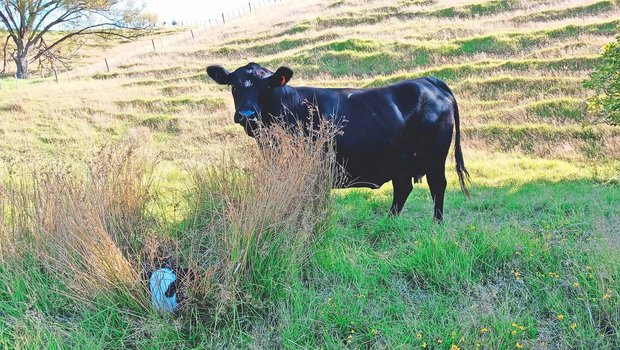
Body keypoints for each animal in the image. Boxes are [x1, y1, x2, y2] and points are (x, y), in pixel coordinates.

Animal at [206, 61, 468, 220]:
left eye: (267, 86)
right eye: (234, 86)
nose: (247, 114)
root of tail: (427, 81)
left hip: (435, 156)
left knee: (437, 186)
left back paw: (436, 223)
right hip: (400, 162)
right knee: (403, 188)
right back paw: (390, 220)